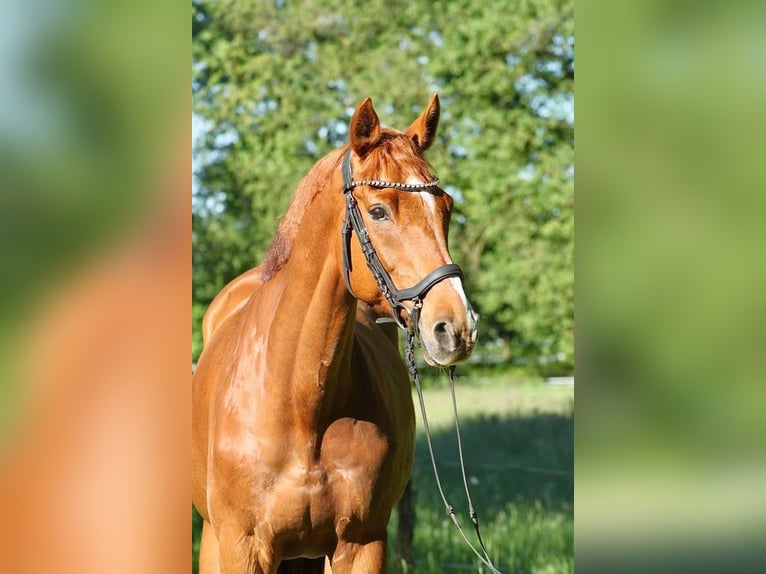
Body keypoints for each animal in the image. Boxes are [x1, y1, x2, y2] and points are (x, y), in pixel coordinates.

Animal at [192, 94, 478, 573]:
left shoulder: (361, 544)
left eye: (447, 208)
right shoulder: (241, 546)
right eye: (378, 211)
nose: (456, 327)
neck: (299, 403)